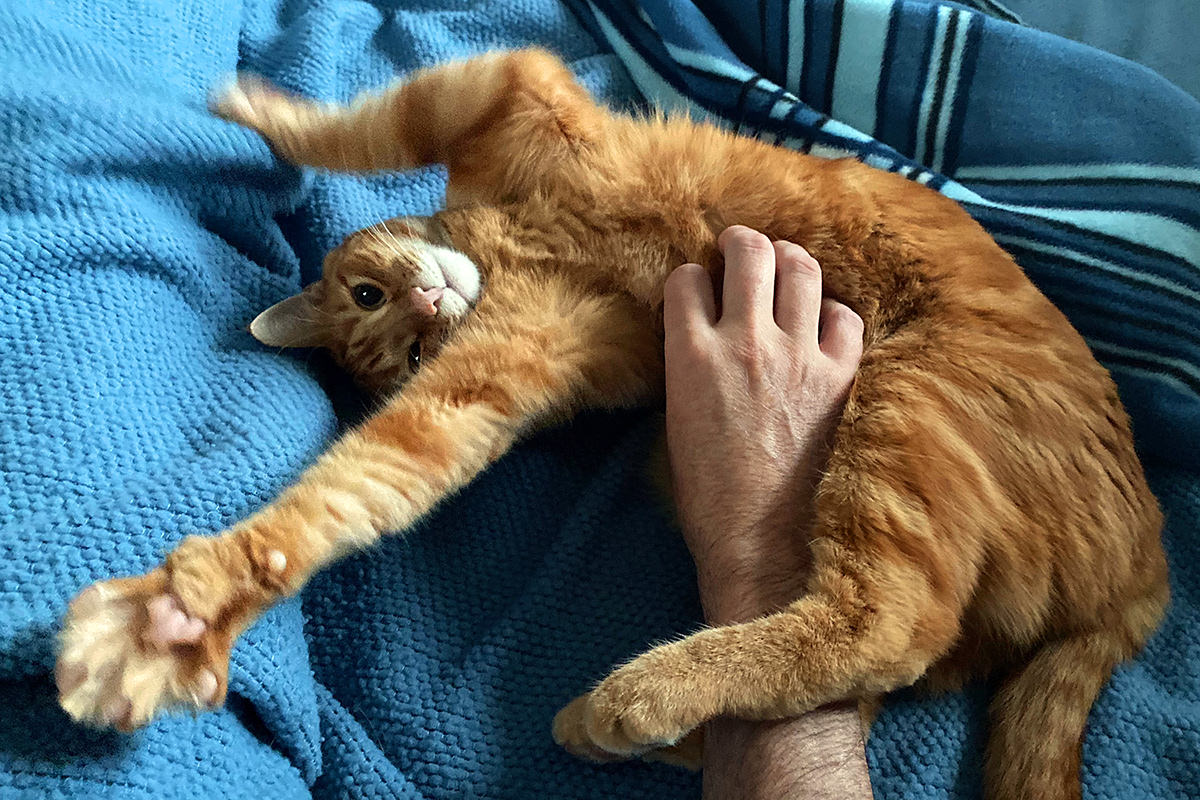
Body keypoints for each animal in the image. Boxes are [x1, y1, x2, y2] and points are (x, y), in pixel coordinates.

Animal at [51, 50, 1166, 800]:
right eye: (399, 352)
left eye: (371, 293)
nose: (429, 311)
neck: (498, 243)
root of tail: (1143, 569)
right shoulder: (501, 373)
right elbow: (354, 489)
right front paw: (184, 612)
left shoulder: (504, 85)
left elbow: (363, 129)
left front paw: (261, 110)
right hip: (863, 481)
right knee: (881, 652)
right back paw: (638, 721)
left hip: (908, 409)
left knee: (881, 625)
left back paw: (638, 697)